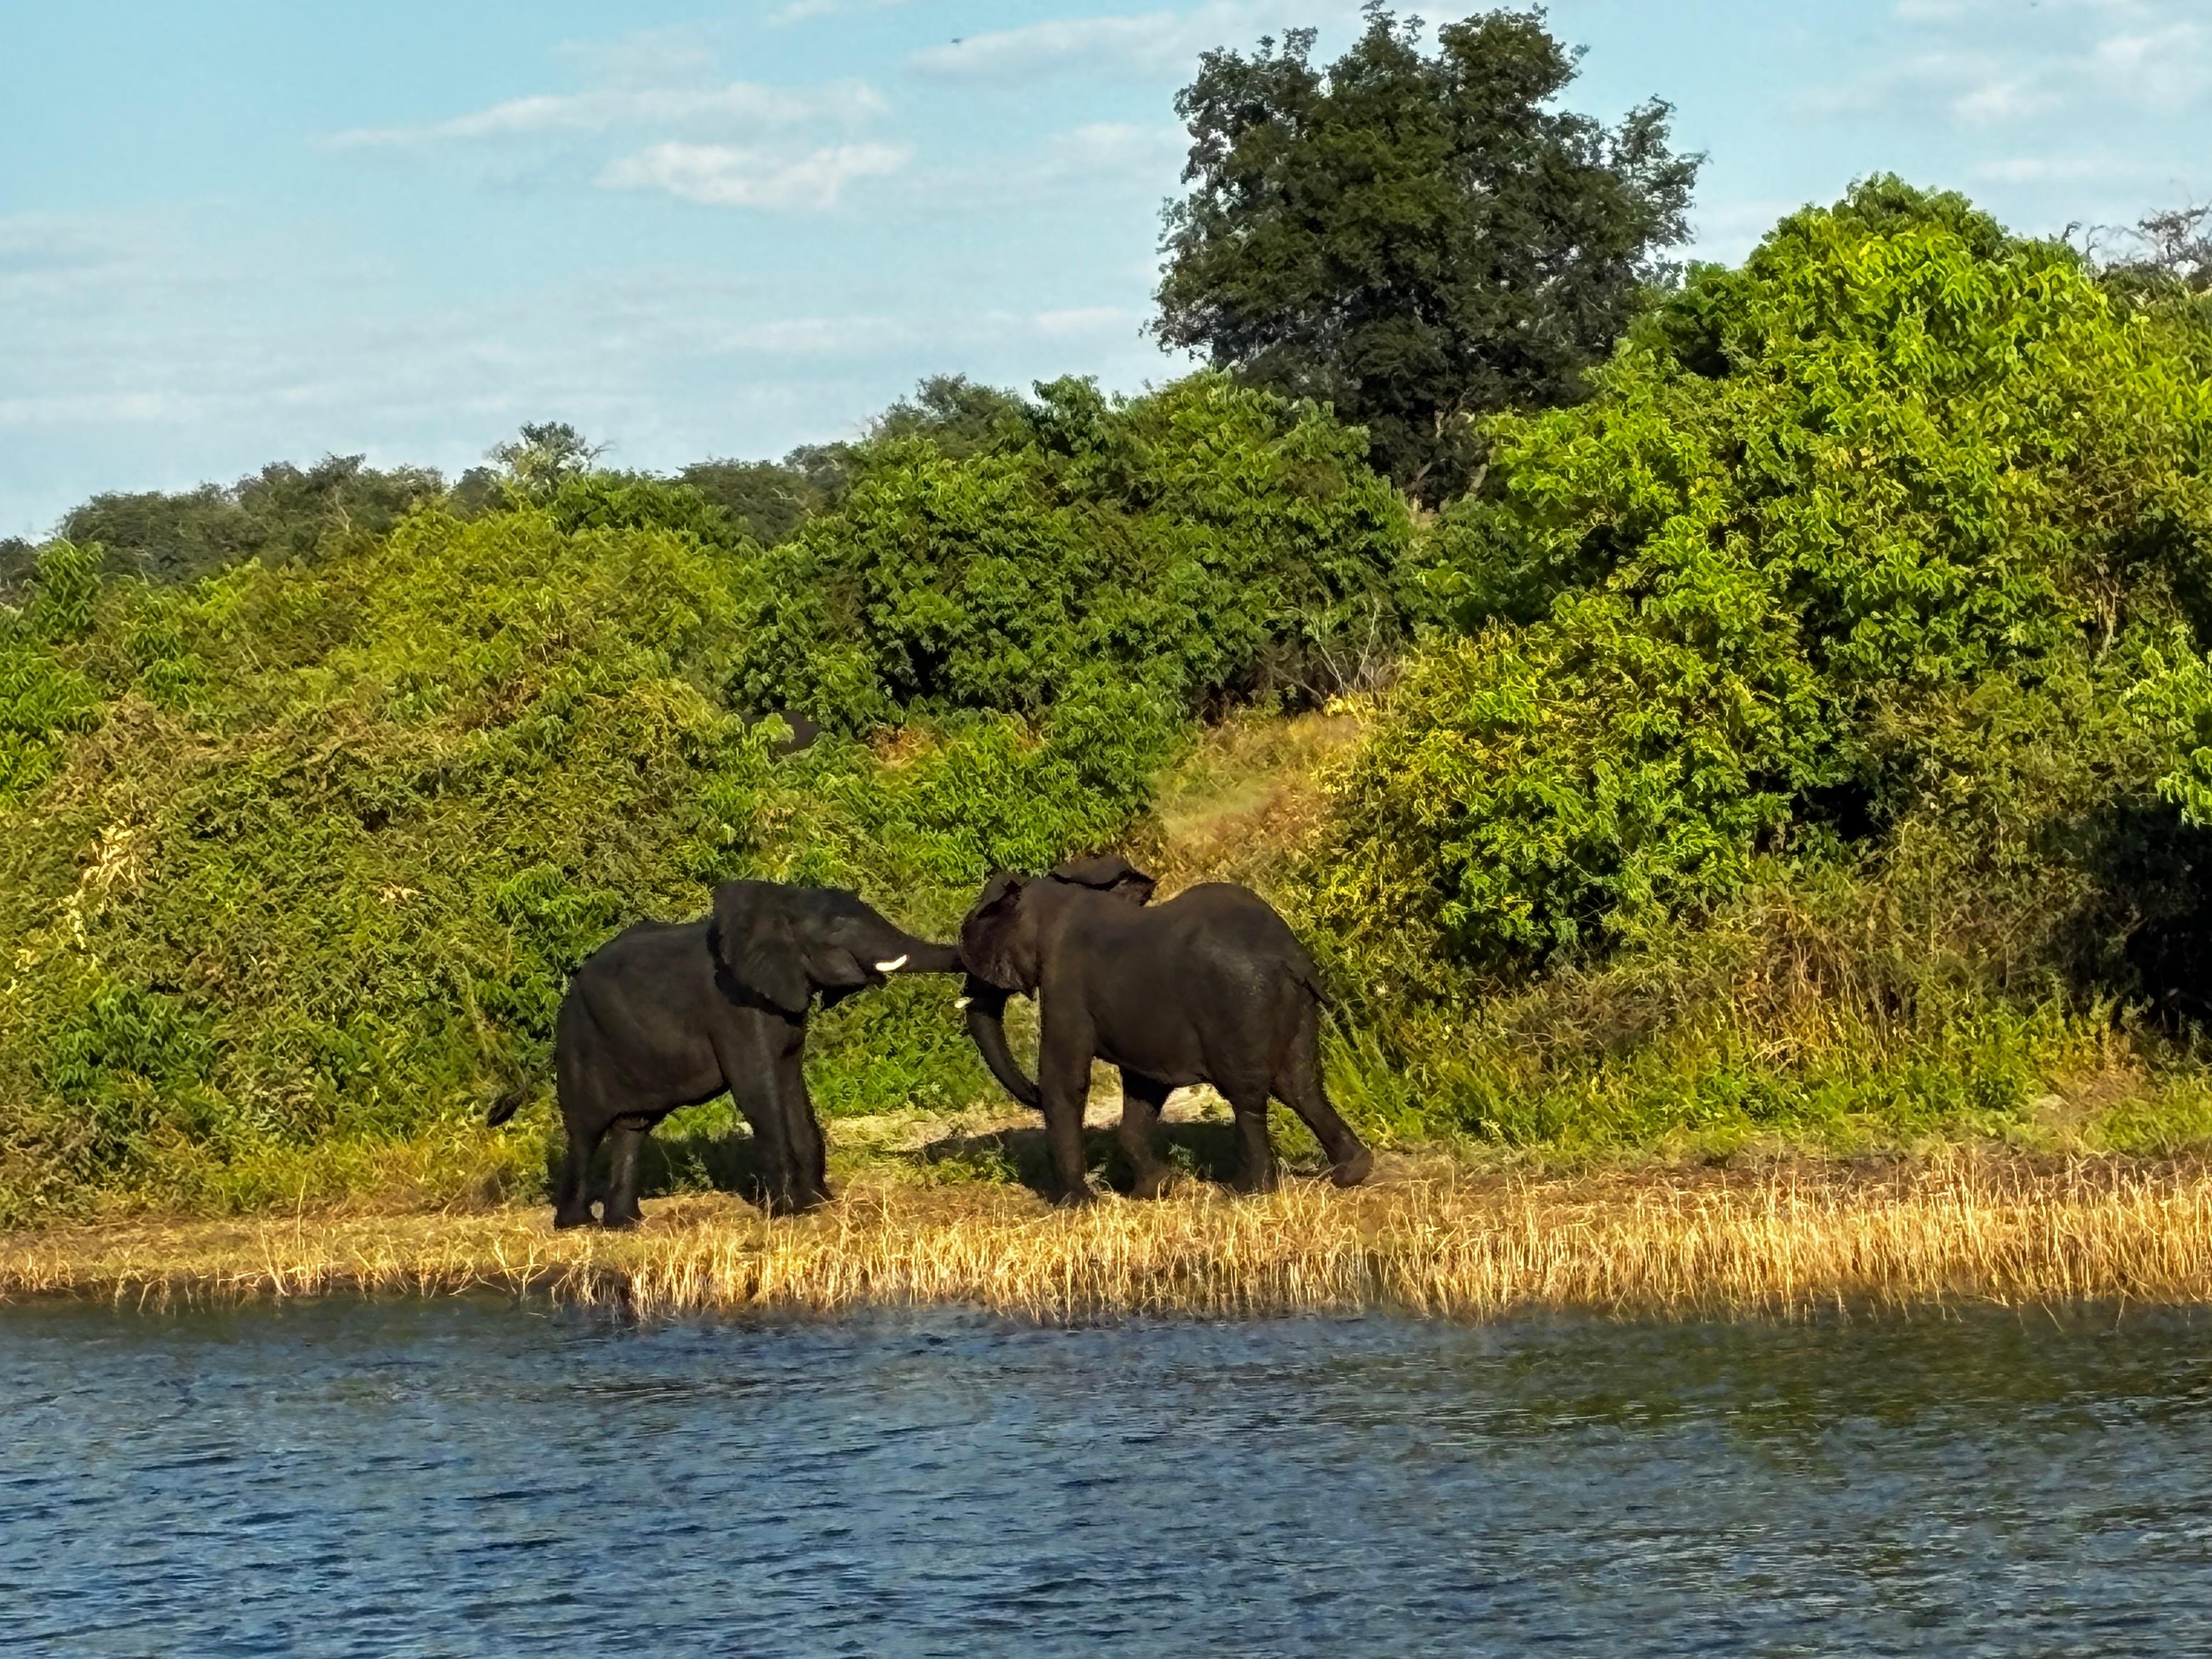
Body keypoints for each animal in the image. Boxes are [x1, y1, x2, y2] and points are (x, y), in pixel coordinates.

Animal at [489, 881, 960, 1228]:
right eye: (841, 926)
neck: (777, 906)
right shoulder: (732, 1008)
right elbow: (758, 1090)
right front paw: (791, 1212)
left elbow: (791, 1085)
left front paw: (818, 1202)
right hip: (579, 1043)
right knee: (586, 1132)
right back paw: (577, 1225)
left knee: (633, 1129)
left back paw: (626, 1225)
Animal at [957, 856, 1375, 1204]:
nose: (1030, 1092)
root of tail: (1288, 955)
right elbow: (1145, 1087)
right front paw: (1156, 1190)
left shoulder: (1065, 988)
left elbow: (1065, 1080)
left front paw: (1078, 1206)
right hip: (1295, 1006)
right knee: (1302, 1086)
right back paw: (1351, 1173)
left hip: (1237, 1004)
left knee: (1248, 1095)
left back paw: (1247, 1192)